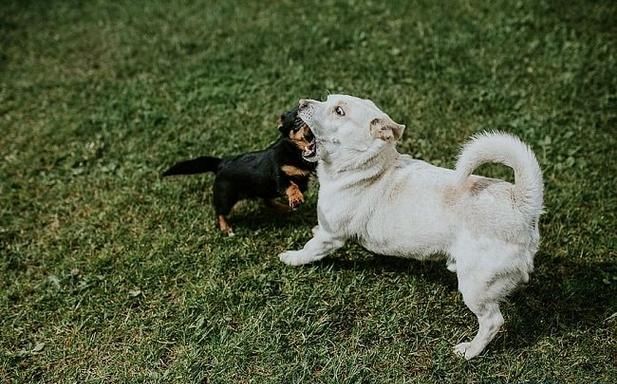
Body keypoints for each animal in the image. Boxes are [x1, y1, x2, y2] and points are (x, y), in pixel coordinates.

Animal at [162, 106, 316, 236]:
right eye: (297, 121)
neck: (295, 150)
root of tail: (221, 163)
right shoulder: (280, 176)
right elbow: (291, 185)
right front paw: (296, 197)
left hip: (262, 188)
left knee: (267, 201)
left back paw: (284, 208)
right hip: (226, 198)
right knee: (220, 212)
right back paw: (226, 228)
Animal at [276, 94, 540, 358]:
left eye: (339, 111)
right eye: (327, 99)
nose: (301, 103)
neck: (368, 167)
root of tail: (520, 203)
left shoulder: (331, 236)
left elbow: (310, 249)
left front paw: (291, 258)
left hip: (475, 286)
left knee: (492, 321)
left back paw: (469, 351)